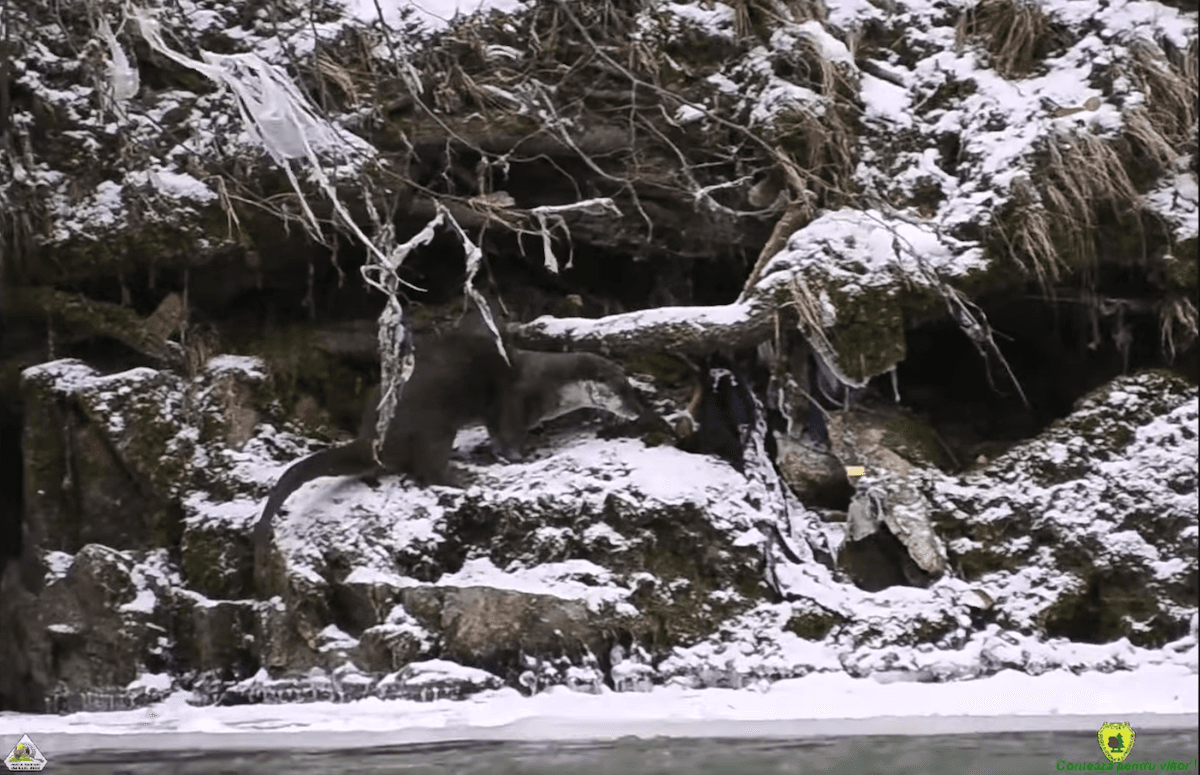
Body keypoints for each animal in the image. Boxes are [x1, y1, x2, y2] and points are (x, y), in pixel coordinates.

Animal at [253, 331, 651, 554]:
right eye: (623, 390)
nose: (638, 410)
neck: (553, 385)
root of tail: (372, 436)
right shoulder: (514, 399)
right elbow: (506, 436)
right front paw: (522, 457)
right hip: (435, 422)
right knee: (426, 470)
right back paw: (461, 477)